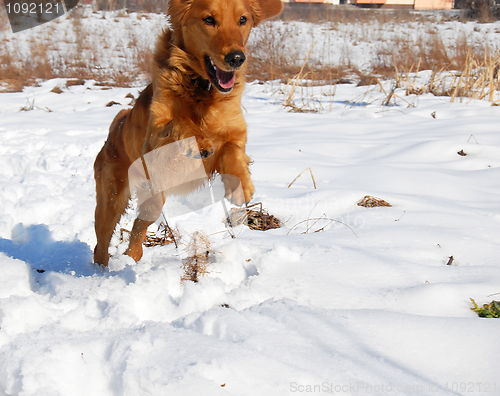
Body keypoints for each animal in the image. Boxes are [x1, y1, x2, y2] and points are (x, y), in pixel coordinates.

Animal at [93, 0, 282, 268]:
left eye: (243, 20)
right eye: (209, 20)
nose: (236, 58)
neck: (202, 88)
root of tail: (115, 126)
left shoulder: (235, 134)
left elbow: (233, 151)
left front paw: (240, 186)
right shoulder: (152, 142)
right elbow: (181, 120)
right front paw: (198, 142)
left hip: (152, 199)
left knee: (139, 226)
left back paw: (132, 256)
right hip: (111, 197)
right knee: (101, 241)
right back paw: (102, 269)